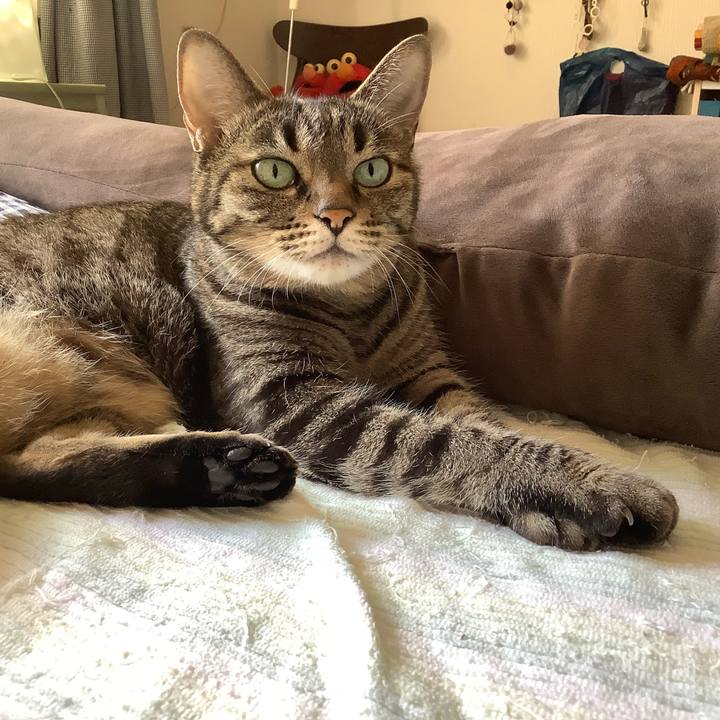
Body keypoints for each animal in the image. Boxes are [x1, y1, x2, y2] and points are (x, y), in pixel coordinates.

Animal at [0, 29, 678, 550]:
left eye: (371, 169)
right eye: (275, 171)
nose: (336, 215)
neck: (351, 308)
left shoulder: (429, 373)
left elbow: (481, 421)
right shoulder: (291, 398)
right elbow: (438, 441)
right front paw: (591, 484)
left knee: (35, 464)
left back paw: (220, 469)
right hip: (63, 345)